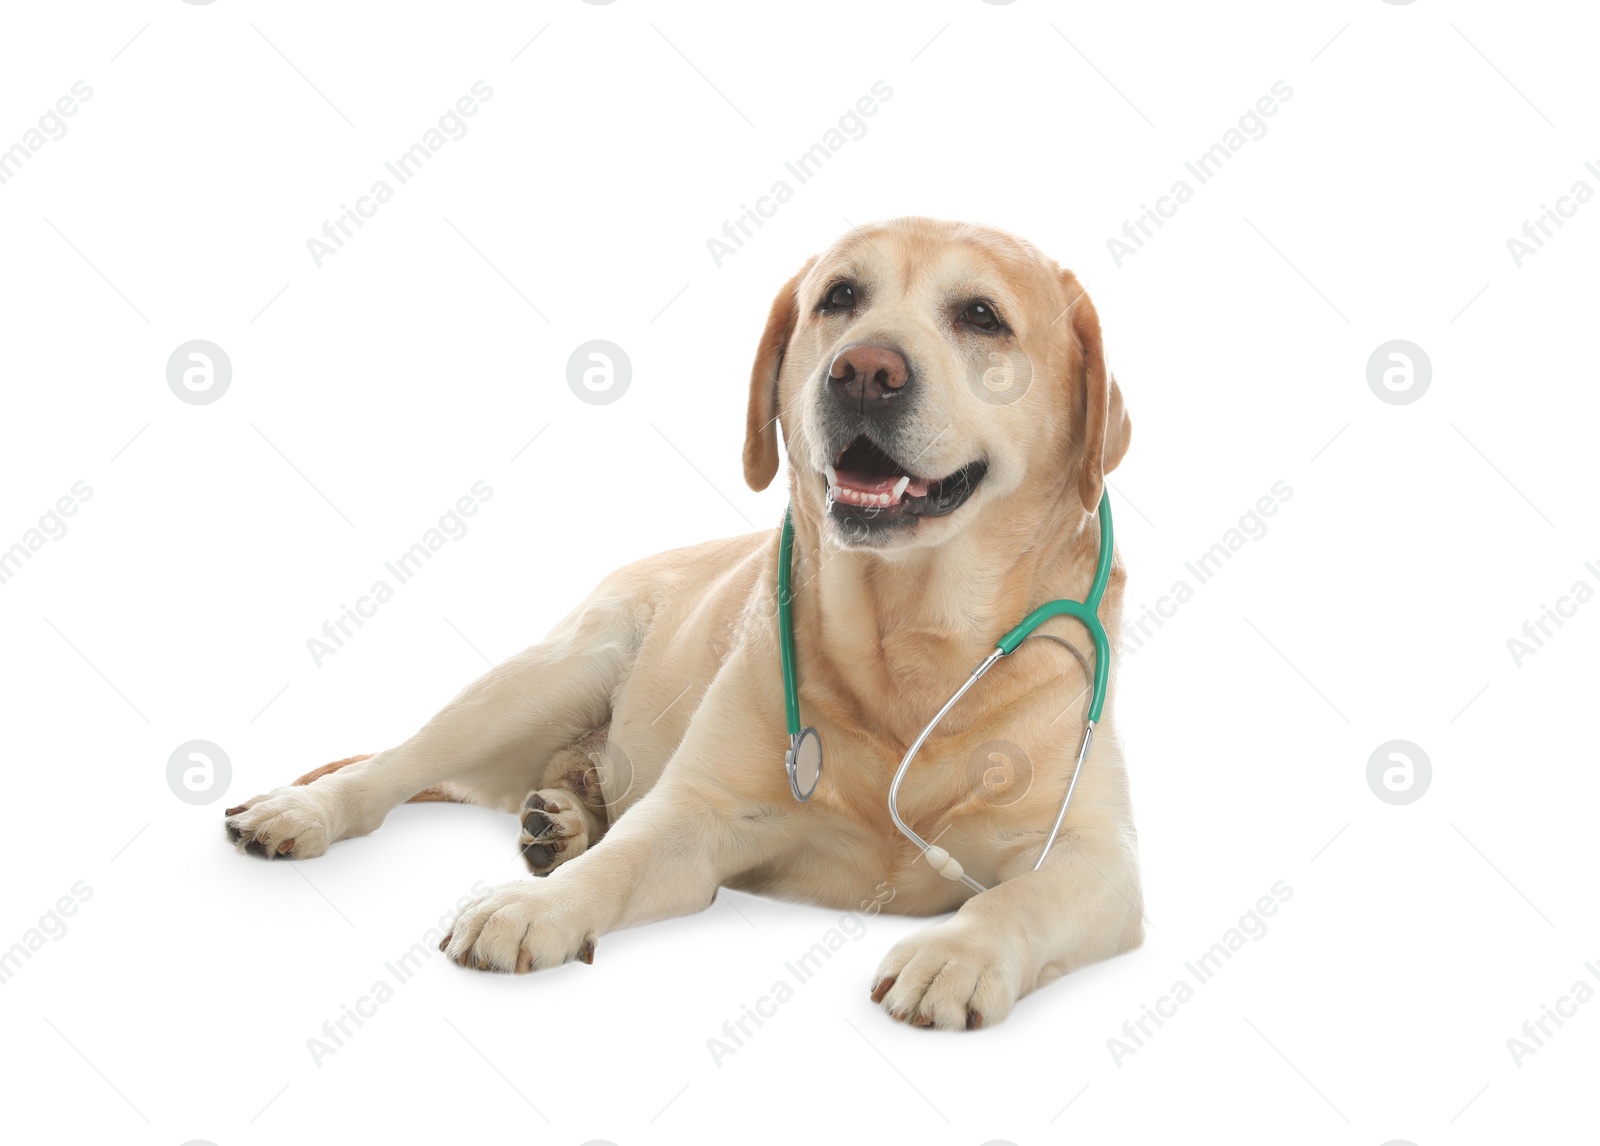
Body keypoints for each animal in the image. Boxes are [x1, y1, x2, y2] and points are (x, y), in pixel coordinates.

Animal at [228, 214, 1152, 1030]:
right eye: (840, 297)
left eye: (982, 316)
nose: (863, 371)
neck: (911, 642)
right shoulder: (696, 817)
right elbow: (625, 857)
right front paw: (537, 906)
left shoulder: (1096, 859)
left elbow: (1019, 896)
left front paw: (955, 953)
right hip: (554, 671)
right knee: (395, 764)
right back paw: (307, 812)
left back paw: (558, 816)